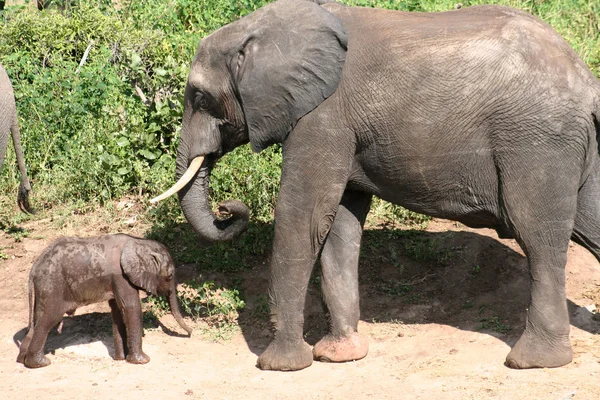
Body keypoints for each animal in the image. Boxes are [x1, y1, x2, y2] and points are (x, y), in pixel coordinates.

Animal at [16, 234, 191, 368]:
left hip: (43, 289)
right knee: (48, 319)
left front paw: (120, 358)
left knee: (37, 321)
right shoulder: (121, 276)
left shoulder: (114, 280)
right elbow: (131, 307)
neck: (138, 242)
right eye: (170, 275)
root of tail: (34, 268)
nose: (190, 333)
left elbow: (118, 311)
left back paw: (22, 360)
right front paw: (142, 361)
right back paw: (41, 363)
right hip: (52, 286)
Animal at [154, 0, 600, 370]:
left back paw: (534, 362)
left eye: (200, 97)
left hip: (537, 142)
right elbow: (339, 224)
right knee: (587, 225)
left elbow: (304, 216)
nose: (228, 209)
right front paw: (340, 356)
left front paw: (280, 366)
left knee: (537, 237)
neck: (261, 26)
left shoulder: (322, 116)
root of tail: (586, 77)